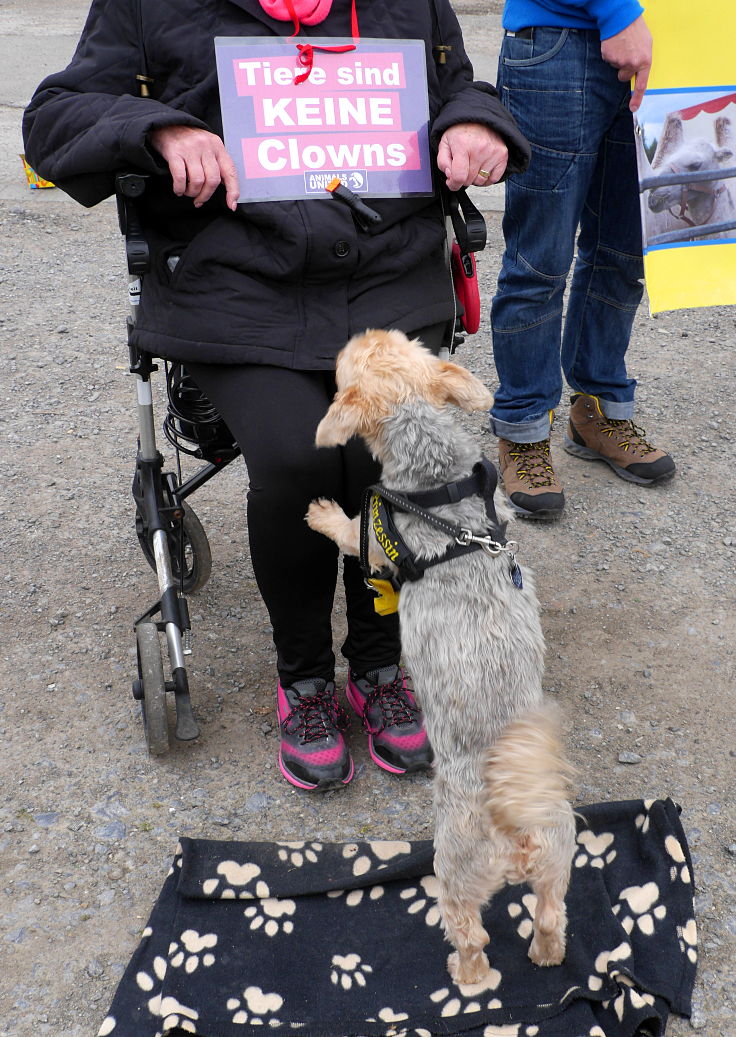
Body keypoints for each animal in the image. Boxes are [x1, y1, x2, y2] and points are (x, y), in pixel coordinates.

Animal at [304, 331, 576, 987]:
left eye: (347, 364)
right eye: (404, 342)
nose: (362, 332)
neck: (436, 475)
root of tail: (517, 823)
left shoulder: (374, 544)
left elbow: (347, 531)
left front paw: (321, 512)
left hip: (456, 867)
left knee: (471, 932)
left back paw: (466, 975)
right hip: (559, 857)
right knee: (551, 917)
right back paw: (545, 954)